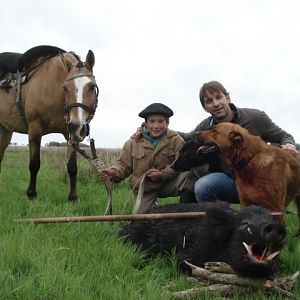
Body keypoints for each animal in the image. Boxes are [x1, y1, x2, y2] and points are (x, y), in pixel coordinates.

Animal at [0, 45, 98, 200]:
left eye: (92, 86)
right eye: (65, 88)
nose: (78, 127)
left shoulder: (70, 134)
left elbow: (72, 167)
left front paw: (73, 197)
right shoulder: (34, 130)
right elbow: (34, 164)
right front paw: (31, 194)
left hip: (5, 130)